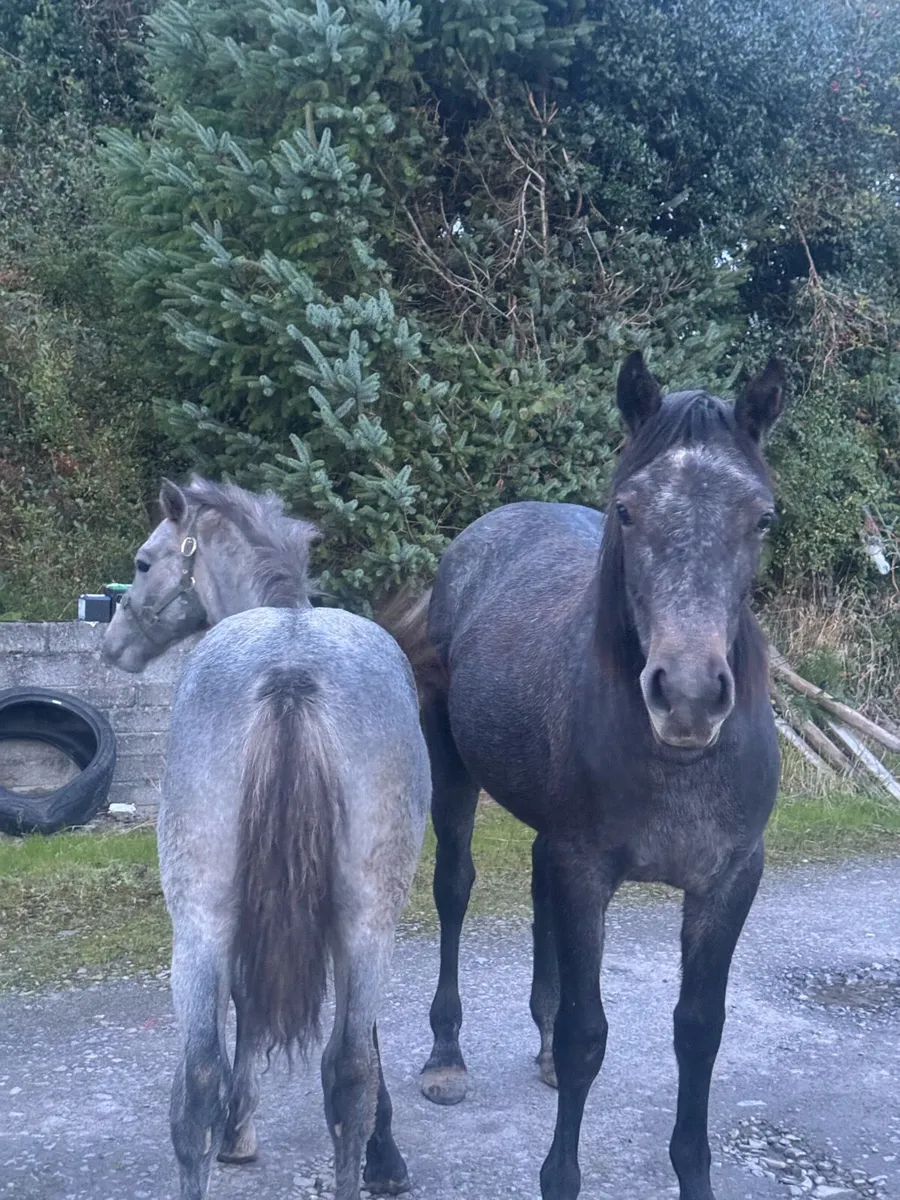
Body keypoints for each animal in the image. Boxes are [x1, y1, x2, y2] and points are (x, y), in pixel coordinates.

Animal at [102, 476, 430, 1200]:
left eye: (143, 562)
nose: (110, 646)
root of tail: (290, 673)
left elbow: (250, 1011)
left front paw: (242, 1131)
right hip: (330, 922)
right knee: (334, 1075)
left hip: (216, 922)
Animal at [383, 352, 786, 1200]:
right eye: (627, 511)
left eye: (761, 518)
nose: (688, 695)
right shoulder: (587, 868)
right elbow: (586, 1035)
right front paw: (559, 1173)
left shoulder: (730, 879)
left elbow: (699, 1032)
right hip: (455, 778)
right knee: (454, 891)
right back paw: (445, 1058)